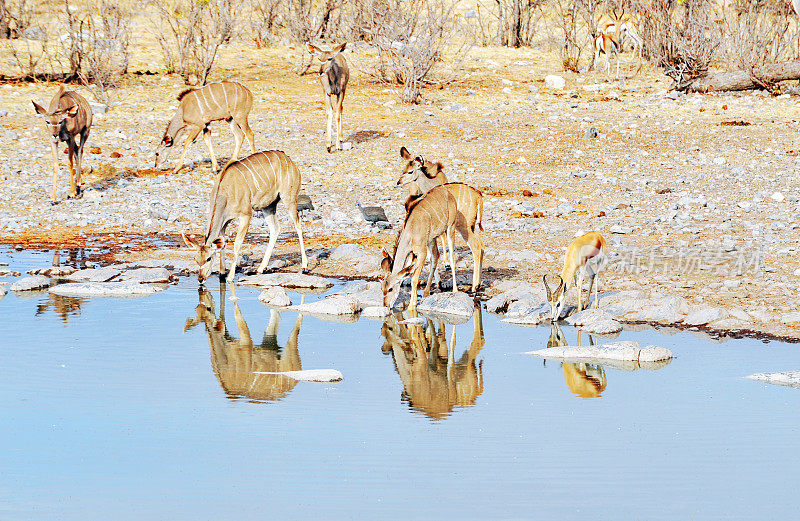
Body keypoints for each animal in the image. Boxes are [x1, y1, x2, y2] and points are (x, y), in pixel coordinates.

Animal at [183, 149, 308, 284]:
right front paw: (222, 274)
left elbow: (237, 244)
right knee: (275, 228)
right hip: (268, 206)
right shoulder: (224, 222)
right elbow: (223, 244)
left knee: (298, 224)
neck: (224, 192)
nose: (200, 279)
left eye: (209, 258)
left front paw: (230, 277)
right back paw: (261, 268)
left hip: (289, 198)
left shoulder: (246, 215)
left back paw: (304, 266)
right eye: (196, 259)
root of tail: (289, 159)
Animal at [396, 146, 484, 292]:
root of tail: (479, 196)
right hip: (471, 227)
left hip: (464, 227)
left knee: (476, 247)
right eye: (403, 170)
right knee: (482, 246)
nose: (399, 182)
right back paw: (478, 284)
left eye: (410, 171)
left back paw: (474, 287)